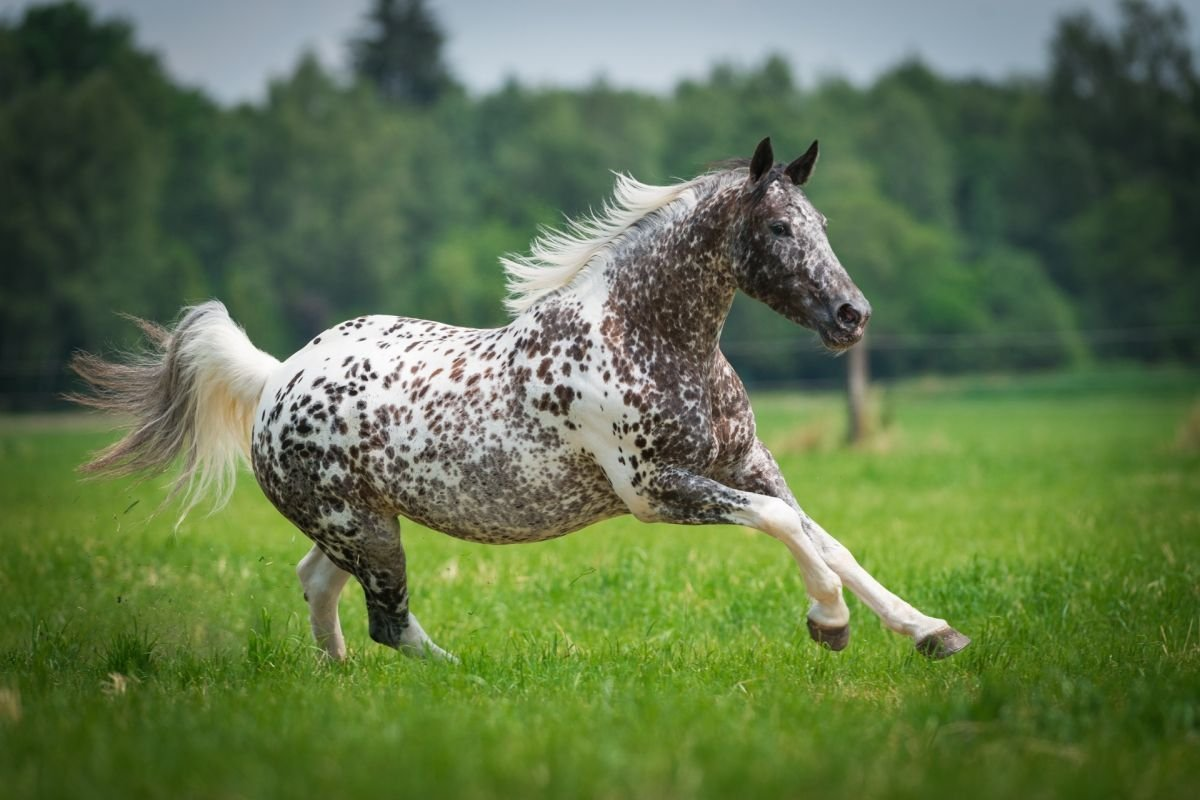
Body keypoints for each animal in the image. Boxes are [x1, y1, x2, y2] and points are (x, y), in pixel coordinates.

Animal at [72, 137, 974, 662]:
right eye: (781, 229)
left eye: (819, 223)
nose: (852, 316)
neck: (652, 343)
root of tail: (275, 379)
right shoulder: (656, 492)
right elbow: (790, 530)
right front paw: (830, 625)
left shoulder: (749, 465)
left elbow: (829, 540)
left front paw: (931, 632)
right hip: (364, 530)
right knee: (386, 621)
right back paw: (456, 685)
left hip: (358, 525)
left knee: (320, 589)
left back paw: (340, 686)